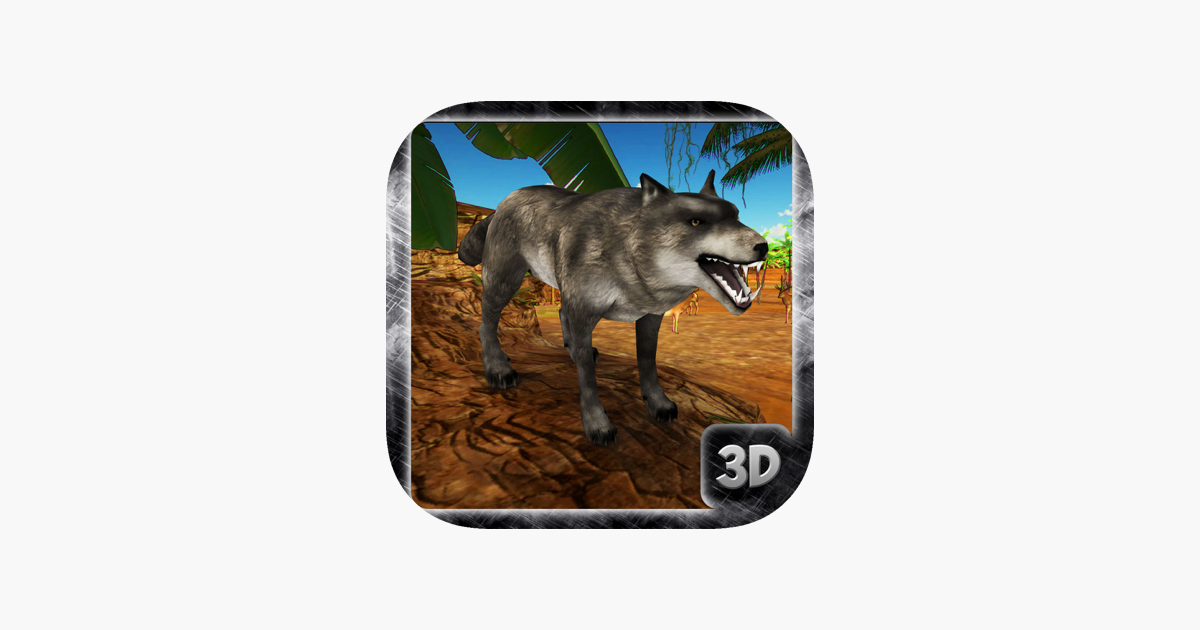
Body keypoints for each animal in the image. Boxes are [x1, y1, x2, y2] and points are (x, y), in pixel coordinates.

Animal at [457, 170, 768, 445]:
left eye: (736, 216)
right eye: (696, 222)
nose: (763, 246)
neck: (626, 253)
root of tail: (503, 203)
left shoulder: (650, 317)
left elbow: (647, 363)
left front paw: (658, 403)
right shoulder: (584, 313)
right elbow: (588, 382)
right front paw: (597, 424)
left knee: (561, 315)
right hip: (505, 283)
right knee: (485, 324)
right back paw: (497, 369)